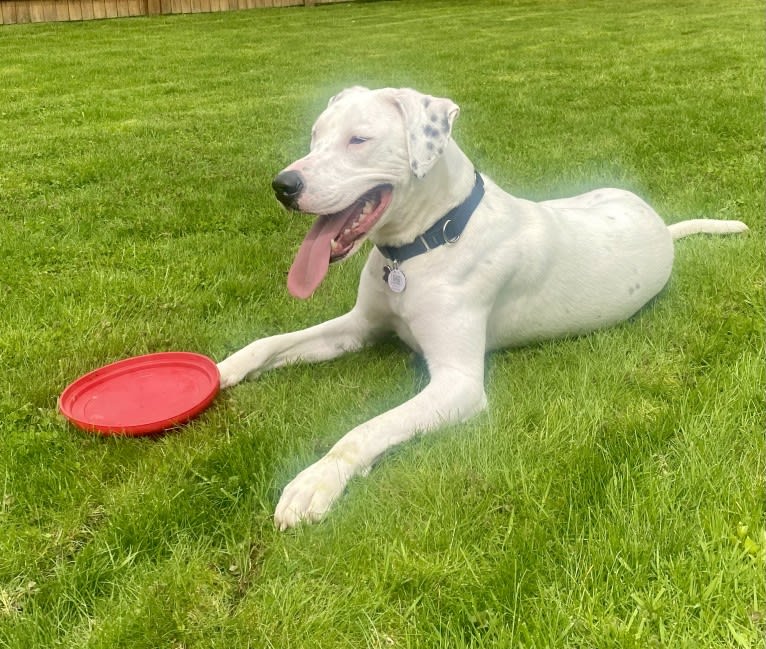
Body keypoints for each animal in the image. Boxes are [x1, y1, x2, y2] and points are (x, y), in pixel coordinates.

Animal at [216, 86, 752, 528]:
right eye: (315, 136)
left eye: (358, 139)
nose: (283, 185)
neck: (429, 239)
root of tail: (660, 224)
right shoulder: (358, 327)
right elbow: (268, 343)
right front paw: (220, 372)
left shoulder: (457, 385)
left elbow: (366, 429)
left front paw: (316, 481)